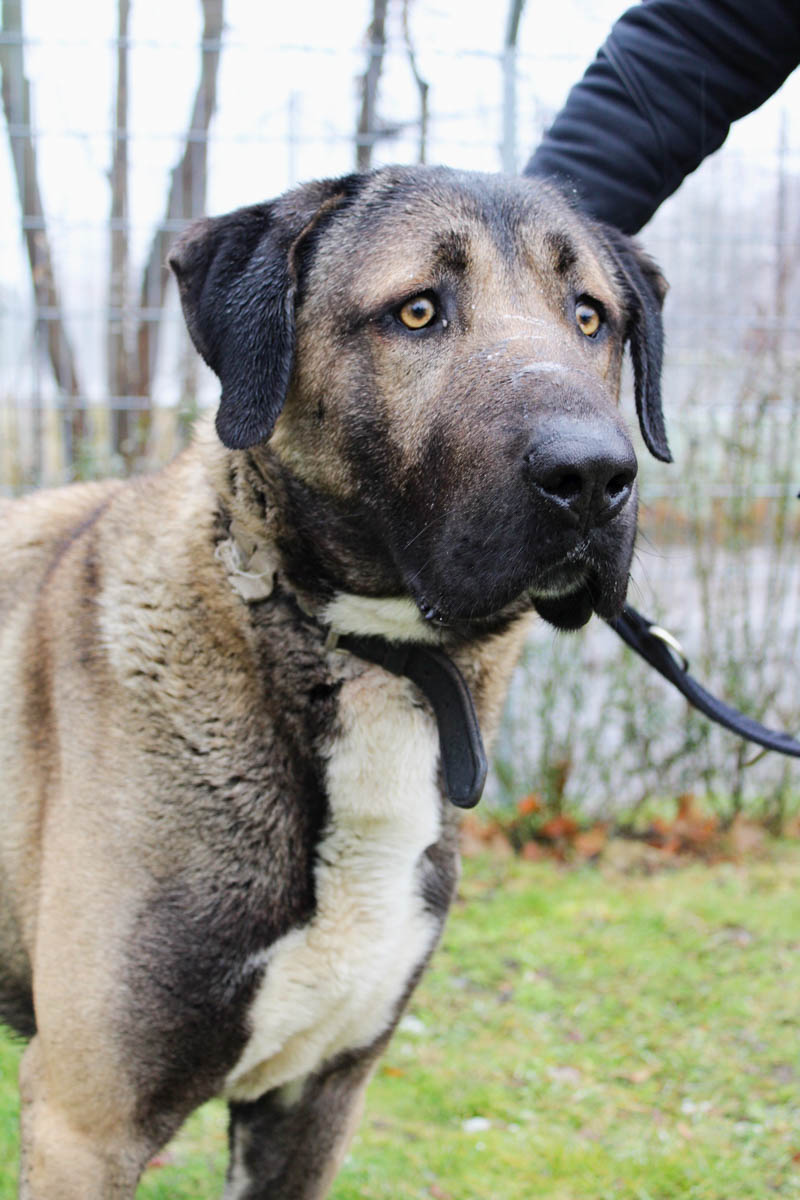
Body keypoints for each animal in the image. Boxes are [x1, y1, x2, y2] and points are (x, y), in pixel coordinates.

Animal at [0, 165, 669, 1198]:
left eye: (590, 317)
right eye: (419, 311)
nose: (595, 476)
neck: (377, 654)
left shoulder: (314, 1099)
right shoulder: (86, 1120)